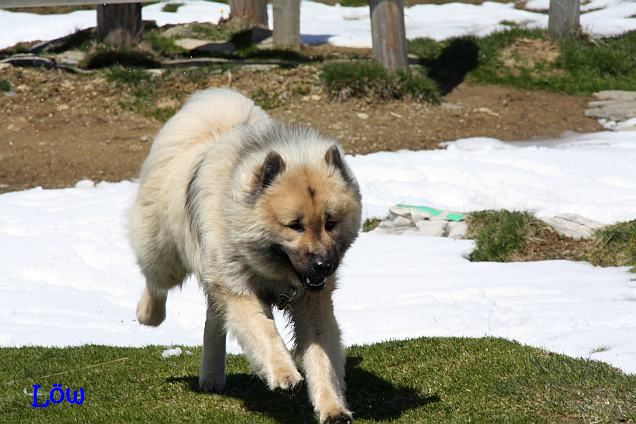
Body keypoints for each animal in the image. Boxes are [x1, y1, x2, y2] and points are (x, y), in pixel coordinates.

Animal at [128, 88, 362, 422]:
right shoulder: (239, 292)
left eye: (330, 223)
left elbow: (321, 358)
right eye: (295, 225)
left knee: (214, 319)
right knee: (156, 282)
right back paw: (149, 315)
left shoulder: (312, 304)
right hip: (165, 255)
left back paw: (212, 376)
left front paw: (332, 408)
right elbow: (265, 333)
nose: (323, 265)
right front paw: (284, 373)